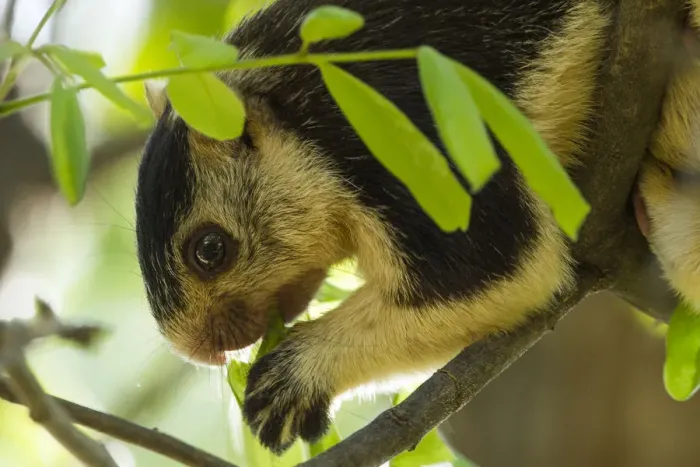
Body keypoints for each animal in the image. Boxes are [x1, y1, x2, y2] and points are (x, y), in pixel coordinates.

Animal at [134, 0, 700, 454]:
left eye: (210, 249)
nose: (197, 350)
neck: (303, 113)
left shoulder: (409, 144)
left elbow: (499, 269)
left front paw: (291, 380)